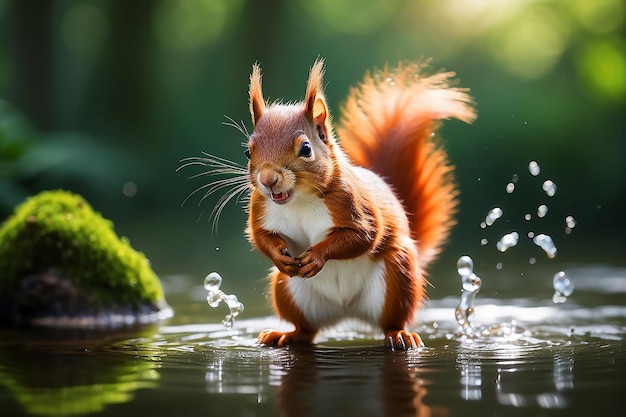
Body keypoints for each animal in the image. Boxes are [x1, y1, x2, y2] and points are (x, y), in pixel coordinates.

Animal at [241, 58, 470, 350]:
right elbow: (260, 236)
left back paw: (399, 335)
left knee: (391, 321)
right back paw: (285, 335)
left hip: (398, 278)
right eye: (248, 152)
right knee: (306, 331)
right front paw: (278, 255)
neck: (299, 200)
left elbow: (365, 235)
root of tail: (346, 310)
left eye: (306, 148)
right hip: (287, 290)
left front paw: (318, 255)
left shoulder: (352, 202)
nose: (268, 179)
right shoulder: (260, 206)